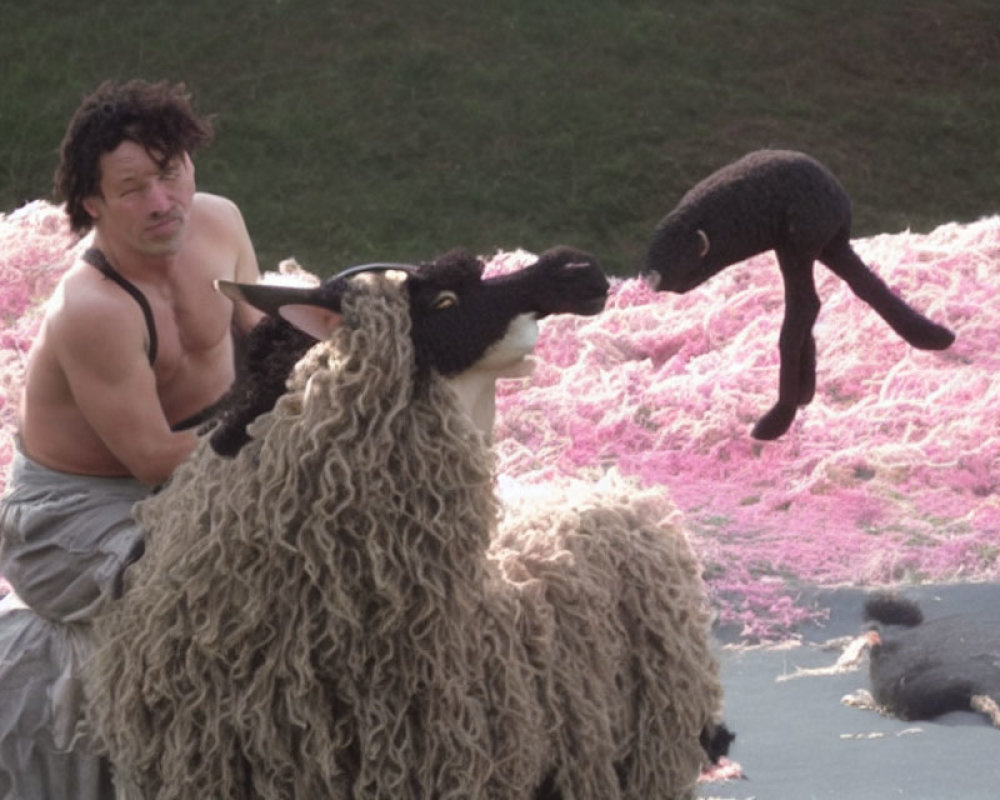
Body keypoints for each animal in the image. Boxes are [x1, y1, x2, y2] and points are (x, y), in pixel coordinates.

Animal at [644, 148, 956, 438]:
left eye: (679, 258)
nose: (651, 279)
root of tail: (838, 198)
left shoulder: (798, 244)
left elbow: (802, 311)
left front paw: (781, 414)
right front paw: (804, 390)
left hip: (803, 242)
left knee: (807, 305)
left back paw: (779, 417)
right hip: (825, 246)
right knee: (862, 287)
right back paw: (932, 336)